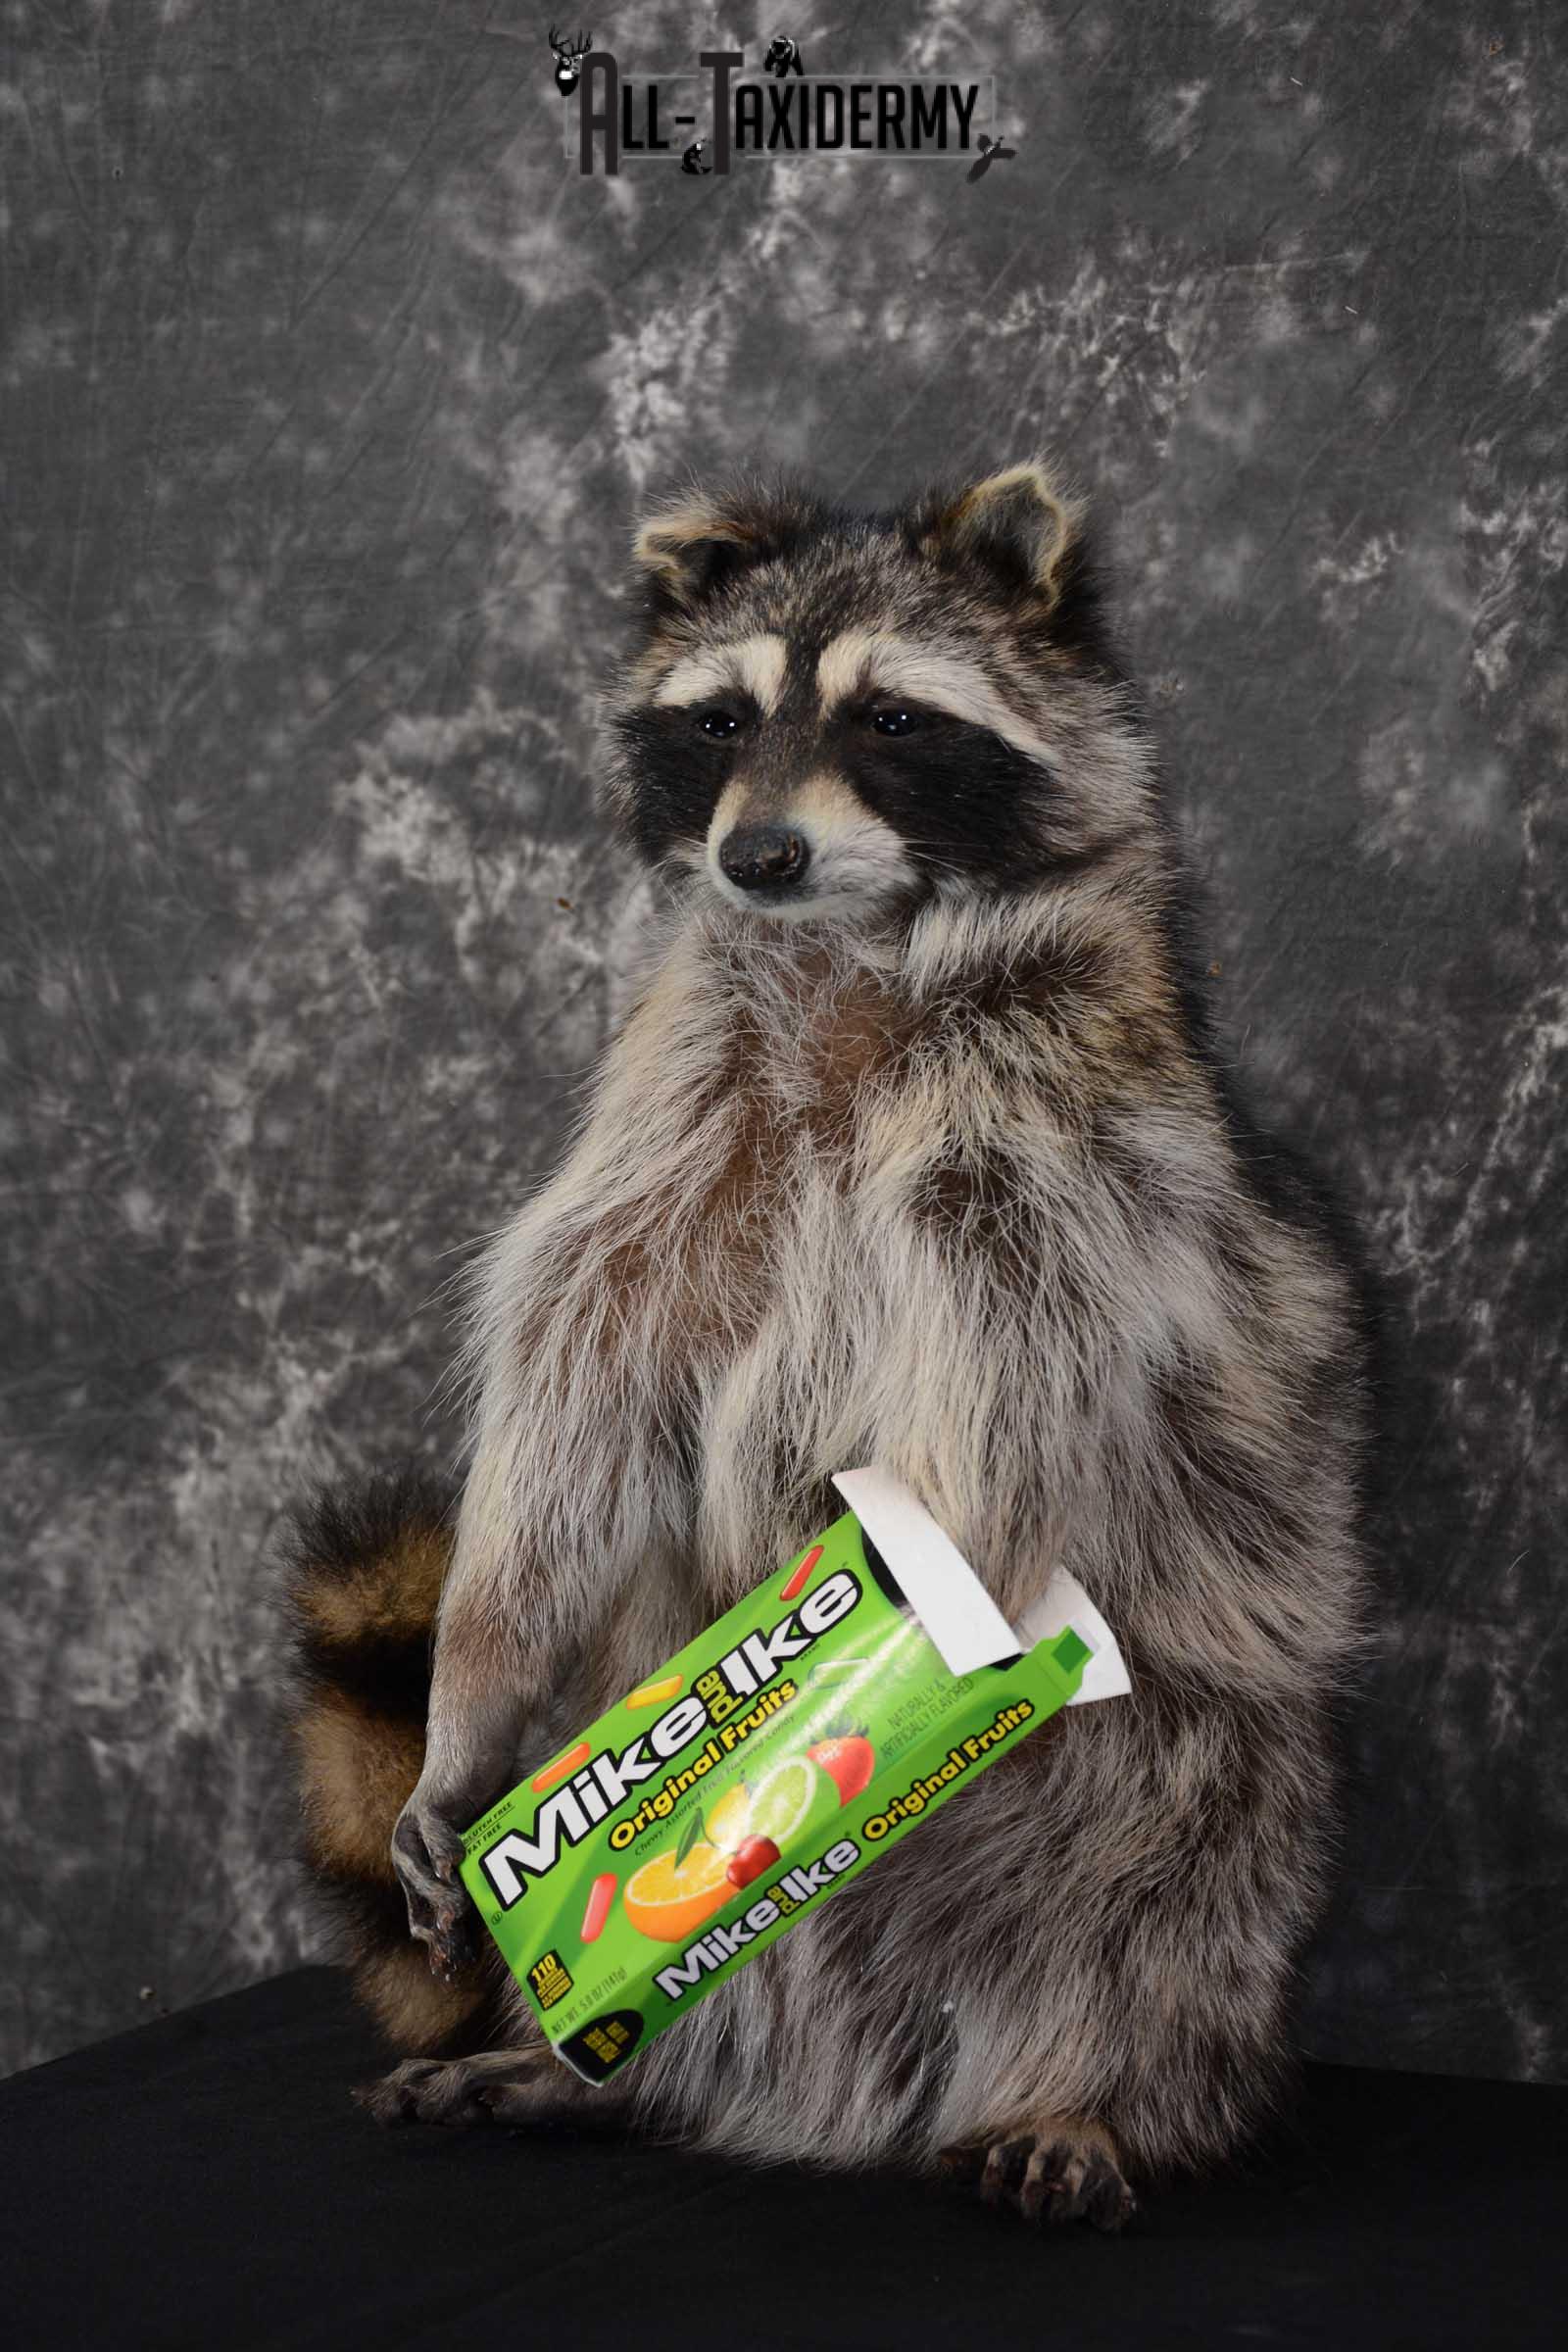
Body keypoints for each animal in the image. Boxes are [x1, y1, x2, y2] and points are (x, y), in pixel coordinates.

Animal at [283, 463, 1369, 2228]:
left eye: (894, 721)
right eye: (723, 719)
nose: (764, 854)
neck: (852, 953)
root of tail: (836, 2094)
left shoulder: (1058, 1148)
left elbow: (1004, 1410)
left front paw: (882, 1629)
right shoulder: (665, 1110)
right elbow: (574, 1396)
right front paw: (470, 1718)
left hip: (1203, 1716)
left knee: (1174, 1875)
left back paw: (1099, 2093)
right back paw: (603, 2067)